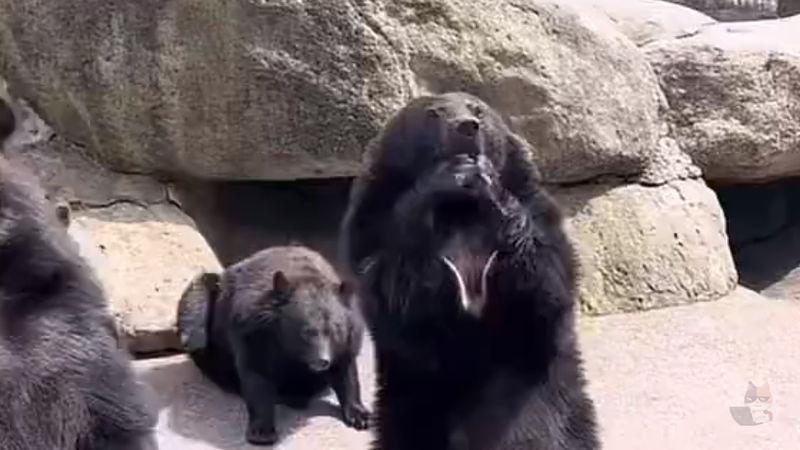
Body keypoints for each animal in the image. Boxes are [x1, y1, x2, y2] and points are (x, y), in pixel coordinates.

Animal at [176, 244, 371, 446]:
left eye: (335, 330)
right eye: (306, 331)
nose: (322, 361)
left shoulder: (349, 335)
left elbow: (345, 369)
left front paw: (360, 415)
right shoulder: (253, 332)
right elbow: (257, 376)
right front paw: (262, 431)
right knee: (196, 326)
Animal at [339, 92, 599, 449]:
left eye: (478, 109)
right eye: (434, 113)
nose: (466, 127)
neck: (461, 212)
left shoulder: (538, 211)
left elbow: (546, 284)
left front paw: (486, 180)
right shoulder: (372, 226)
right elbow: (398, 294)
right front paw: (448, 177)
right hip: (405, 405)